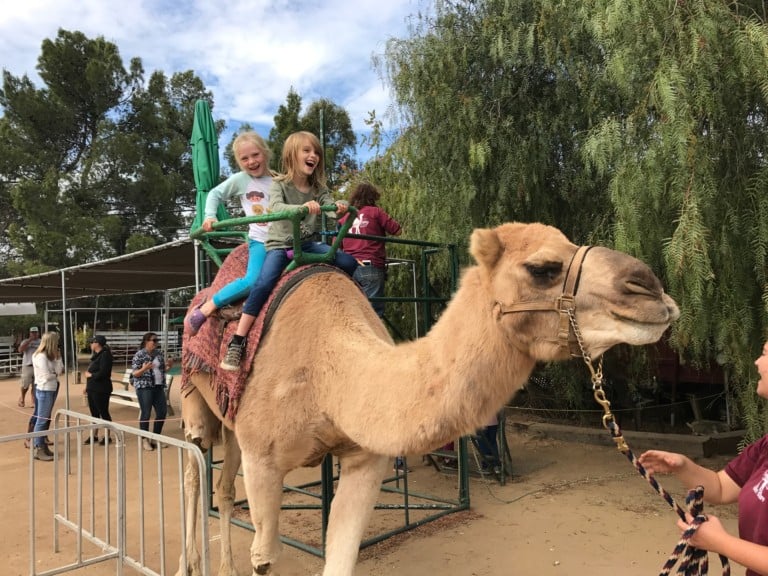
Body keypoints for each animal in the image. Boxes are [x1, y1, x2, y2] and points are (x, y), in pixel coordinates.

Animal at [176, 222, 679, 576]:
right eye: (542, 269)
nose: (651, 289)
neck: (333, 371)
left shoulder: (365, 459)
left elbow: (341, 557)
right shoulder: (265, 459)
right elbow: (264, 557)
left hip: (233, 420)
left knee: (223, 488)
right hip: (194, 395)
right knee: (194, 465)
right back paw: (189, 565)